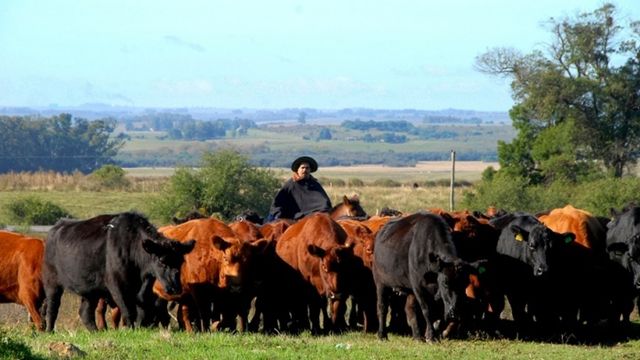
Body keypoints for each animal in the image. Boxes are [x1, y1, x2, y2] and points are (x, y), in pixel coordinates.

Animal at [42, 211, 194, 332]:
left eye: (180, 262)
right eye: (162, 260)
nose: (174, 288)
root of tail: (55, 228)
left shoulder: (143, 289)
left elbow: (142, 310)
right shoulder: (117, 285)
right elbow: (128, 309)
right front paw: (130, 329)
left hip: (90, 290)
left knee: (85, 312)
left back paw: (96, 331)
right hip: (52, 282)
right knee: (52, 307)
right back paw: (50, 330)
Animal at [372, 212, 472, 342]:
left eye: (464, 284)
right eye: (445, 282)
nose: (454, 312)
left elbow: (436, 314)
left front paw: (432, 334)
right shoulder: (418, 287)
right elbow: (427, 310)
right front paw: (431, 336)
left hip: (408, 290)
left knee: (410, 309)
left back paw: (417, 336)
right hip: (381, 283)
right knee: (382, 307)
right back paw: (382, 334)